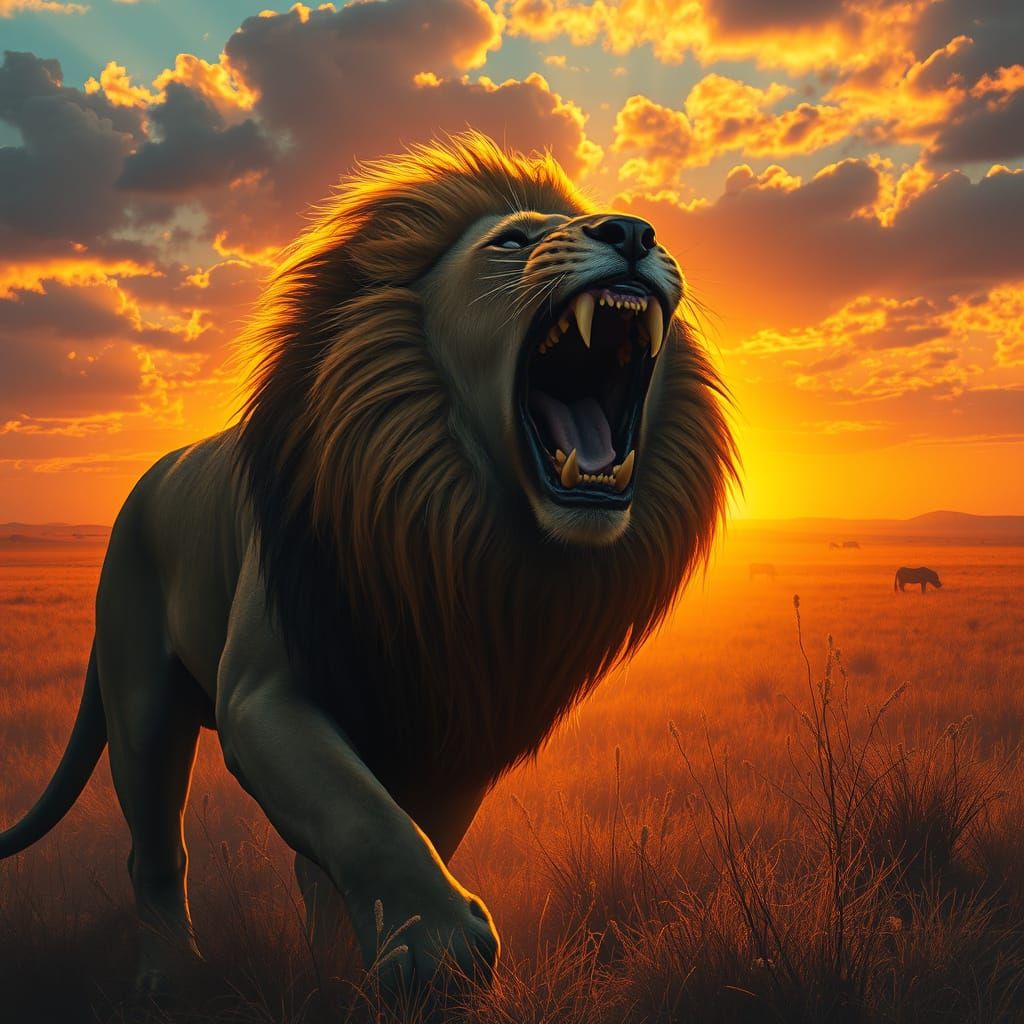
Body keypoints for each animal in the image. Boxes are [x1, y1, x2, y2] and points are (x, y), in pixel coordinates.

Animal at [0, 133, 736, 996]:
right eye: (512, 241)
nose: (632, 233)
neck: (453, 544)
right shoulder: (264, 691)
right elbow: (363, 816)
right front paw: (437, 944)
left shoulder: (461, 719)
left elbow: (392, 829)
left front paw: (366, 965)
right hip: (141, 697)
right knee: (154, 850)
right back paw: (169, 978)